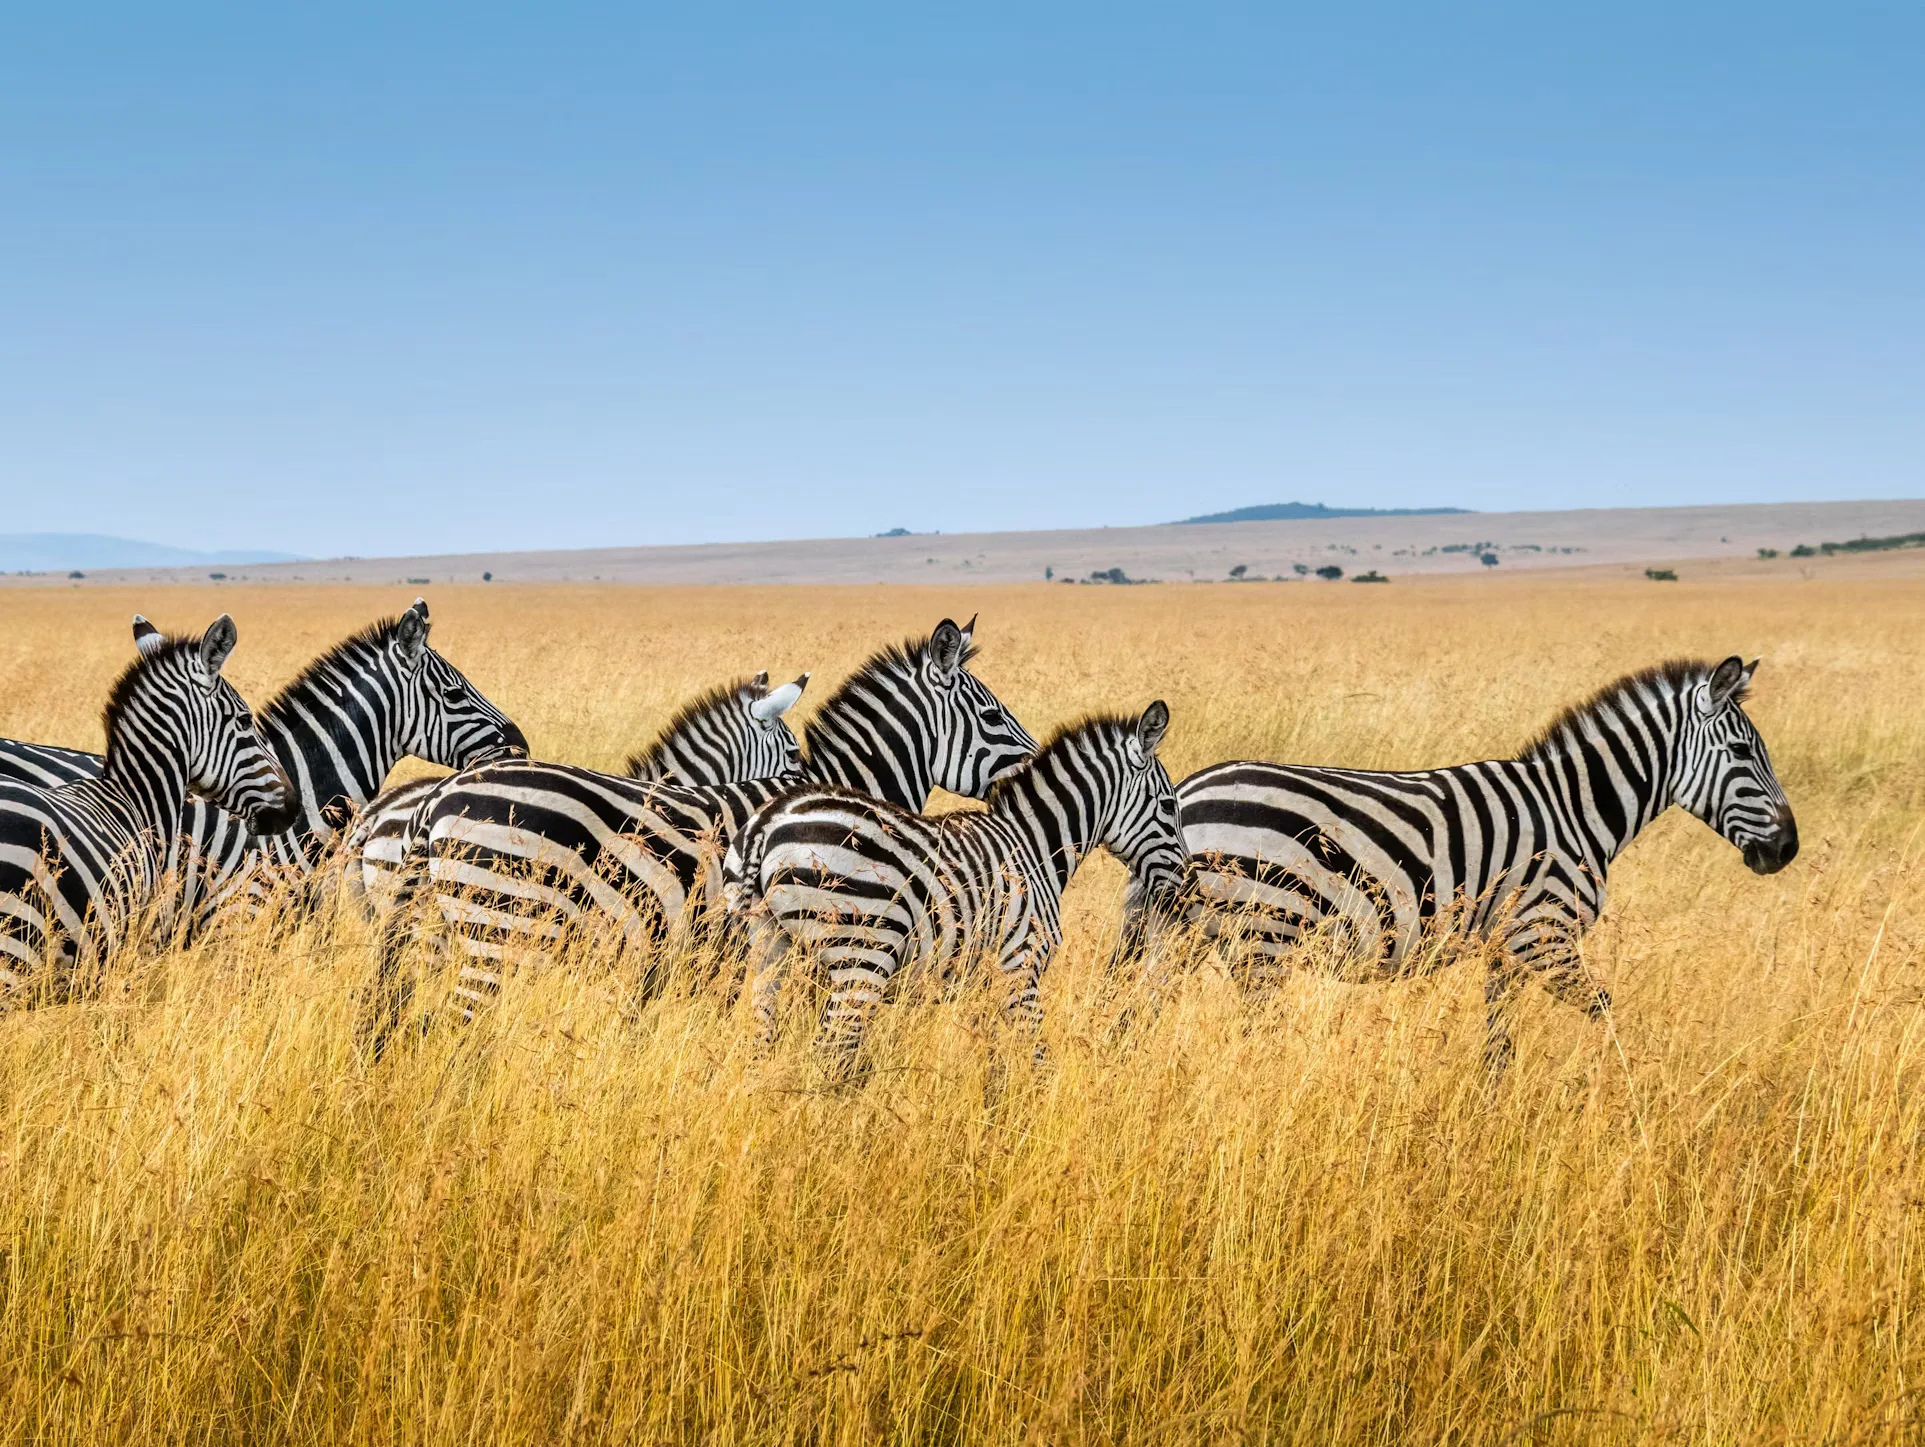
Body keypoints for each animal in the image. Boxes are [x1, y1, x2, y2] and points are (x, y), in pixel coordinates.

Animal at [730, 702, 1183, 1065]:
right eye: (1168, 804)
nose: (1184, 883)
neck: (1034, 845)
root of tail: (768, 823)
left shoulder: (980, 979)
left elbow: (993, 1056)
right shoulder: (1021, 964)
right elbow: (1034, 1055)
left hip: (770, 947)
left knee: (761, 1042)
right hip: (862, 956)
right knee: (831, 1052)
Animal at [1166, 656, 1798, 1073]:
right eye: (1742, 752)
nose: (1788, 849)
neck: (1574, 807)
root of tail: (1187, 791)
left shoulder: (1505, 950)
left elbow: (1499, 1043)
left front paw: (1489, 1113)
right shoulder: (1542, 935)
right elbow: (1606, 1012)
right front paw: (1625, 1093)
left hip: (1191, 937)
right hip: (1263, 937)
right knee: (1255, 1036)